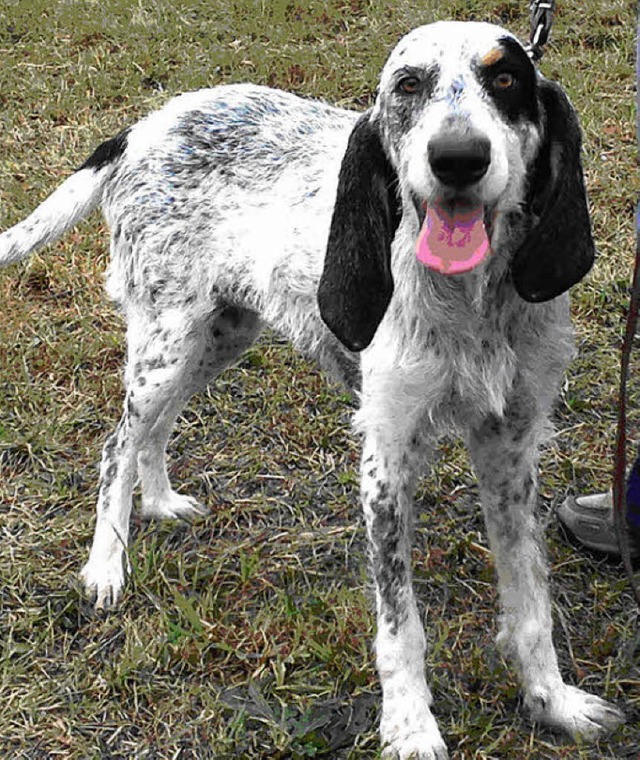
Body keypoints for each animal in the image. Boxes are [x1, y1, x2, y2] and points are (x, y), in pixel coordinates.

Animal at [0, 19, 624, 760]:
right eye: (407, 84)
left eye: (506, 78)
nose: (458, 159)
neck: (474, 302)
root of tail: (143, 126)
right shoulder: (386, 458)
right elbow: (401, 626)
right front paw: (410, 726)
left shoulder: (512, 450)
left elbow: (530, 601)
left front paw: (551, 700)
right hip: (167, 342)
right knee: (116, 445)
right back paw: (106, 566)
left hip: (218, 335)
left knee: (153, 432)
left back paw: (158, 502)